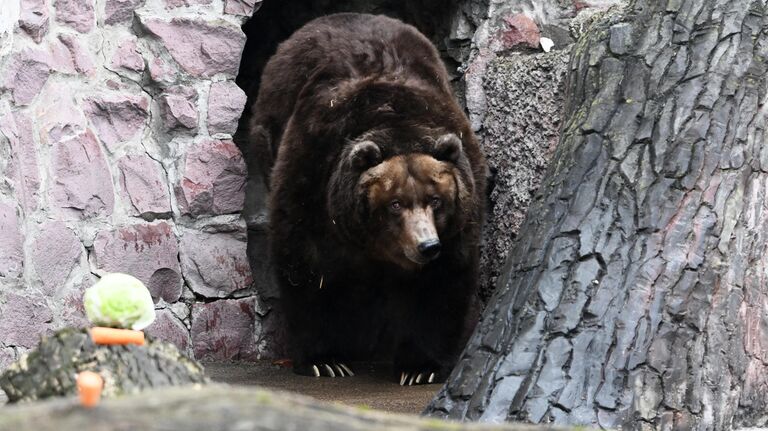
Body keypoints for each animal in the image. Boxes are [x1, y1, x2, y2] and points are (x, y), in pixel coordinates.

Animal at [248, 12, 486, 384]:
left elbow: (442, 281)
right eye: (395, 203)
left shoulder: (460, 210)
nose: (426, 245)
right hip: (270, 131)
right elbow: (307, 268)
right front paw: (325, 359)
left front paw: (420, 367)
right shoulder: (314, 177)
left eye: (435, 200)